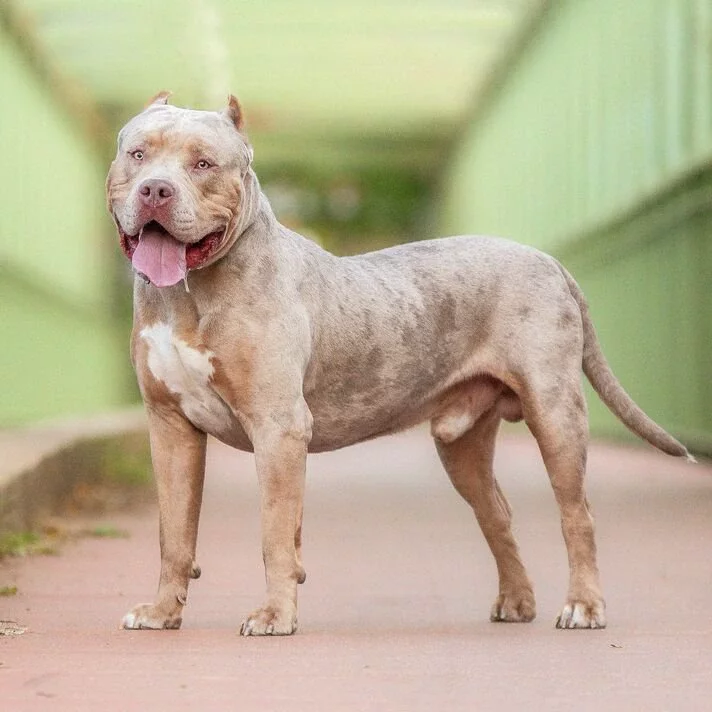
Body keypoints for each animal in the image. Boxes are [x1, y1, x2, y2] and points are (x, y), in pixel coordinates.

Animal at [108, 93, 692, 636]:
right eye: (138, 154)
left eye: (203, 163)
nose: (156, 190)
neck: (188, 293)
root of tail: (550, 261)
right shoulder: (171, 428)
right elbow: (174, 532)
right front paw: (162, 611)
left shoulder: (278, 427)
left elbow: (274, 532)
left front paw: (275, 614)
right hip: (461, 445)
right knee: (497, 515)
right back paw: (516, 601)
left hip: (556, 415)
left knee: (578, 514)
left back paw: (584, 606)